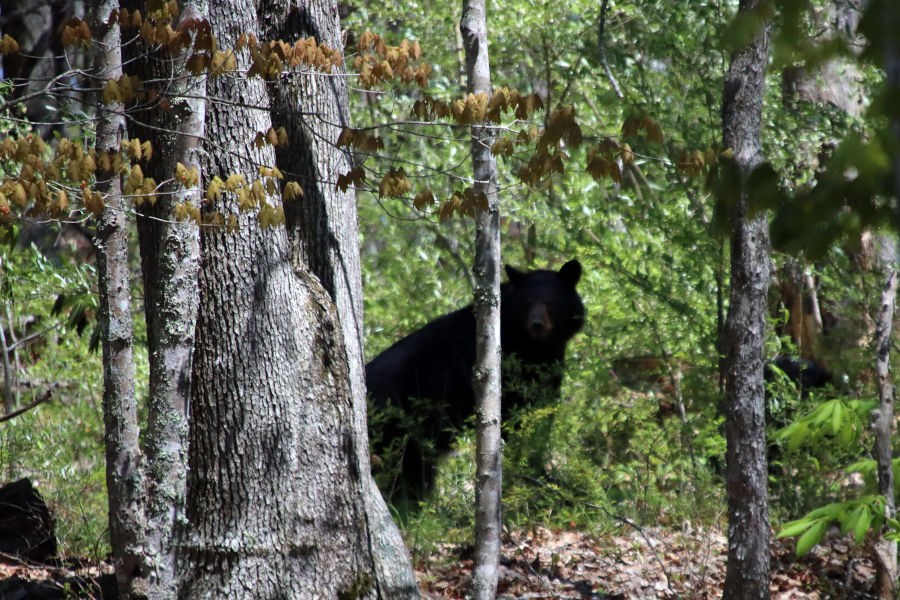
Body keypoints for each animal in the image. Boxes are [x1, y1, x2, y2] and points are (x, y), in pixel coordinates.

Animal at [366, 260, 584, 500]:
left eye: (551, 301)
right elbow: (515, 417)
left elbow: (542, 414)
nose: (537, 324)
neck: (534, 346)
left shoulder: (550, 366)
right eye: (527, 302)